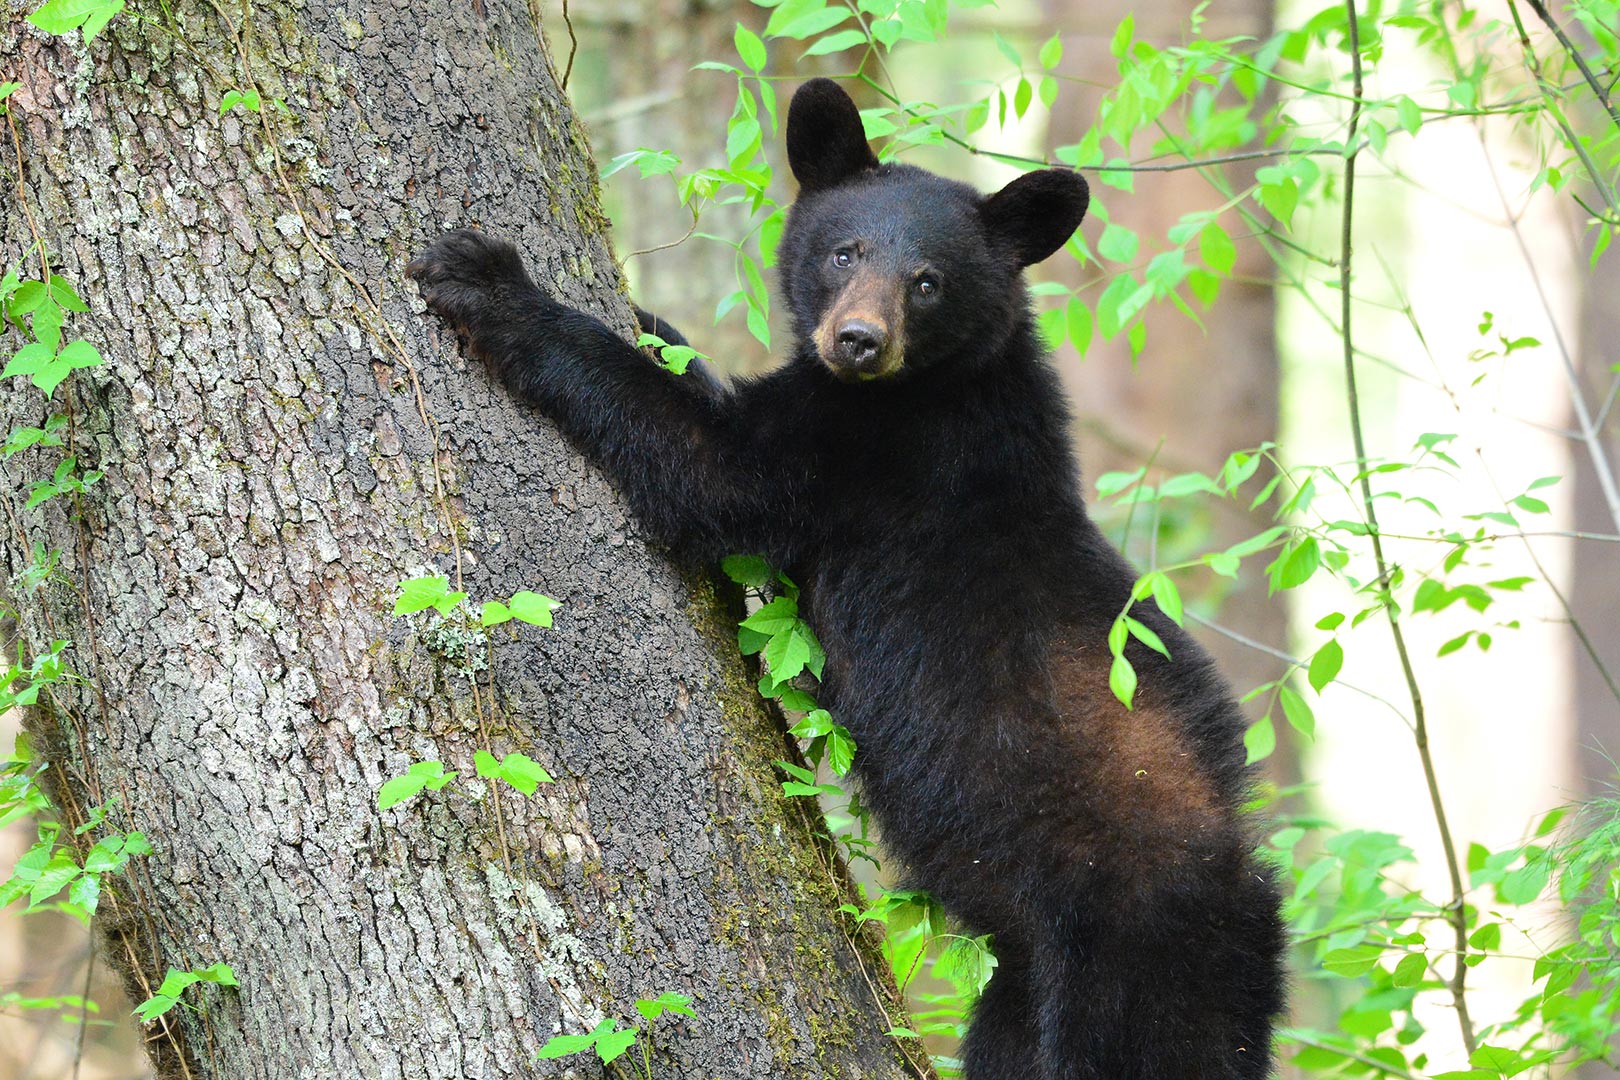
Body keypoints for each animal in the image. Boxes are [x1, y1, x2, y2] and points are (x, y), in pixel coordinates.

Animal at [409, 77, 1286, 1079]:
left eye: (928, 281)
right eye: (844, 251)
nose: (859, 339)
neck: (939, 382)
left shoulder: (865, 450)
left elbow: (706, 463)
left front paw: (485, 278)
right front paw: (654, 321)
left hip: (1124, 967)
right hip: (1028, 980)